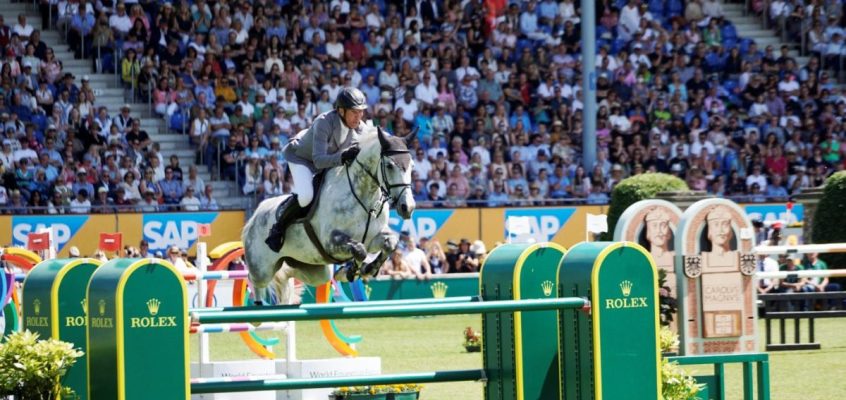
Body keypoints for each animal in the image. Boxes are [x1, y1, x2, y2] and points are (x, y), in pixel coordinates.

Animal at [242, 123, 418, 304]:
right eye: (389, 166)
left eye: (412, 166)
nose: (408, 207)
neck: (364, 196)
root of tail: (253, 217)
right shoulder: (331, 242)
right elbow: (359, 250)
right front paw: (351, 271)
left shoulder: (373, 239)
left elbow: (390, 243)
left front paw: (365, 269)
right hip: (262, 268)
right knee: (254, 279)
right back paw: (257, 305)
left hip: (313, 268)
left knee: (289, 274)